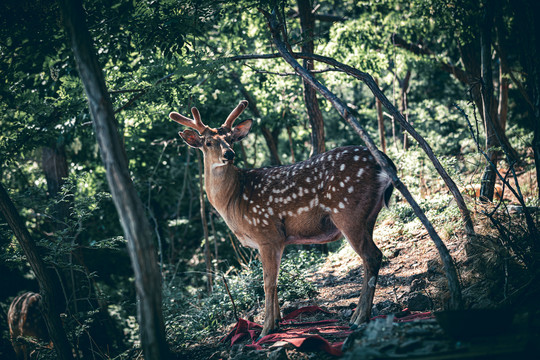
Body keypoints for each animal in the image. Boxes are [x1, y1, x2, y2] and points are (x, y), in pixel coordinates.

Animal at [171, 100, 394, 336]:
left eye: (231, 138)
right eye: (208, 142)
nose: (229, 154)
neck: (235, 200)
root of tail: (384, 163)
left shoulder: (266, 233)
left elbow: (267, 282)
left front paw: (265, 329)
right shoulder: (277, 241)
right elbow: (276, 280)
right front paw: (277, 321)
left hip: (348, 212)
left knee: (372, 256)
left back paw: (360, 319)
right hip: (368, 216)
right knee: (370, 258)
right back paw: (355, 316)